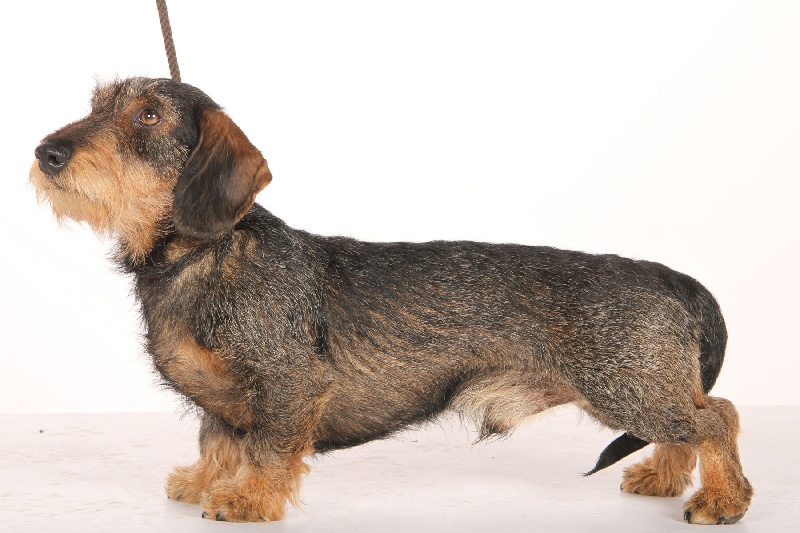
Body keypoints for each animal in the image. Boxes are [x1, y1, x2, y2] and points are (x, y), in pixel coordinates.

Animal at [30, 77, 753, 524]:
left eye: (148, 114)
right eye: (95, 105)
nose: (46, 152)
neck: (204, 253)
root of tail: (672, 279)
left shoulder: (288, 384)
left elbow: (264, 446)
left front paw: (248, 500)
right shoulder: (225, 397)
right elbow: (217, 438)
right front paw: (206, 481)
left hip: (625, 388)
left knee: (718, 416)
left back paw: (723, 500)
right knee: (694, 421)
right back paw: (663, 477)